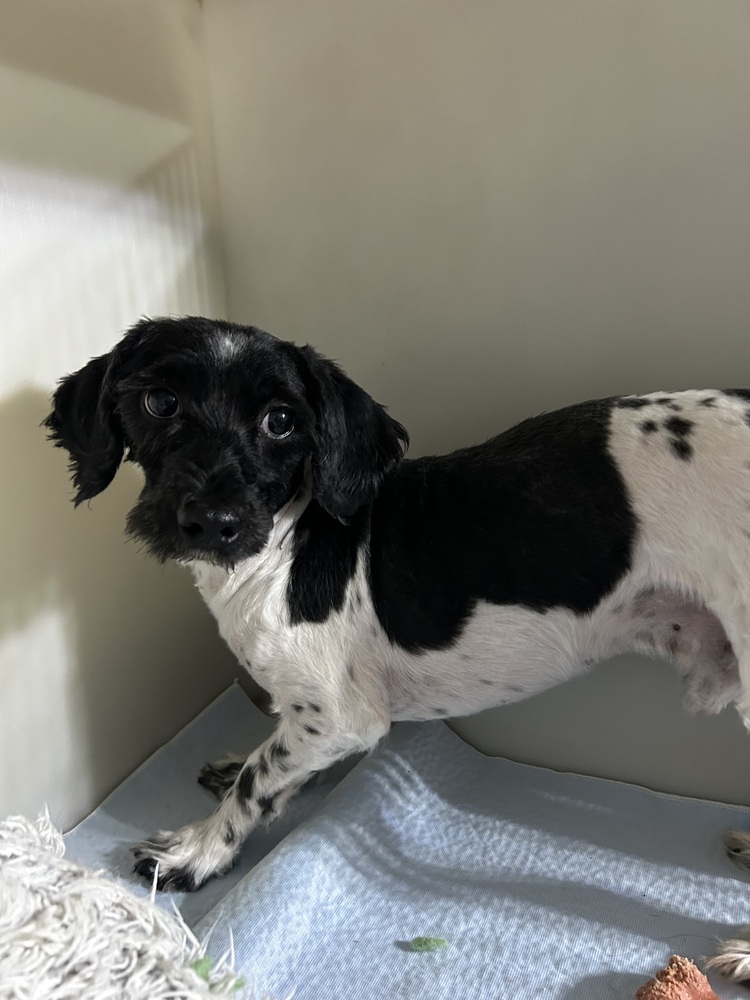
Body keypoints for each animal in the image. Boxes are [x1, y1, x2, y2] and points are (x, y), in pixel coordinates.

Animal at [45, 314, 750, 920]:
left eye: (281, 420)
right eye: (159, 403)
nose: (211, 521)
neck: (284, 548)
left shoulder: (343, 718)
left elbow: (258, 776)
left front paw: (199, 850)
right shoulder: (308, 718)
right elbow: (271, 760)